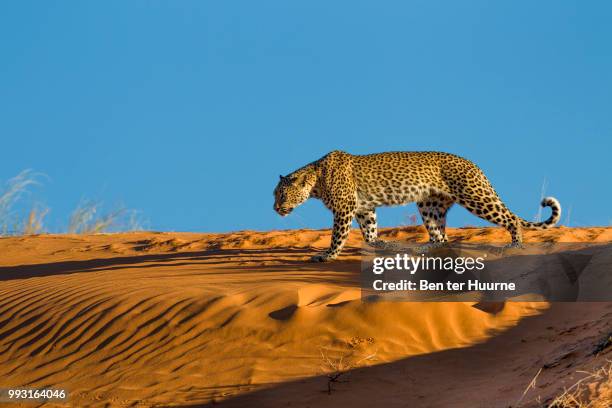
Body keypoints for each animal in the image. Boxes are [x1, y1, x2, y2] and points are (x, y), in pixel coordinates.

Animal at [272, 151, 560, 262]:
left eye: (281, 195)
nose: (275, 208)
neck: (316, 181)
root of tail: (474, 165)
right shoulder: (364, 208)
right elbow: (370, 231)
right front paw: (380, 245)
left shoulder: (345, 208)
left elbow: (338, 236)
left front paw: (328, 256)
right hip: (429, 205)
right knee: (440, 237)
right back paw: (423, 249)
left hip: (474, 197)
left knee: (510, 218)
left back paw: (515, 246)